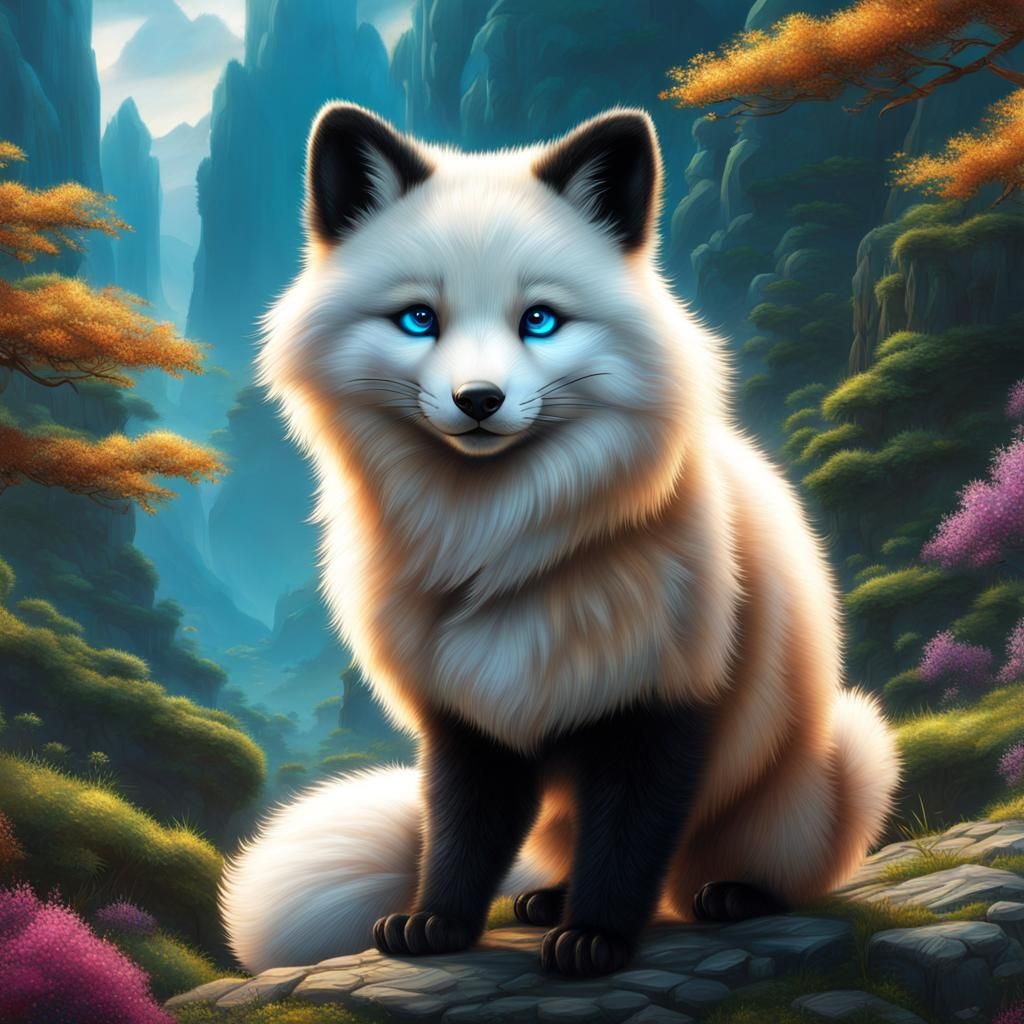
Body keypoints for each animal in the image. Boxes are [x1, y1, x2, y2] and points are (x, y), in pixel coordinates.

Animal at [221, 102, 899, 978]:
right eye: (419, 319)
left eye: (538, 320)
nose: (478, 399)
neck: (502, 549)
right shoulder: (466, 717)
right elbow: (462, 835)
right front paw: (436, 924)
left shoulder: (664, 702)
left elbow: (629, 840)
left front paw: (597, 940)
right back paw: (545, 898)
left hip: (837, 753)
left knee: (738, 867)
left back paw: (731, 895)